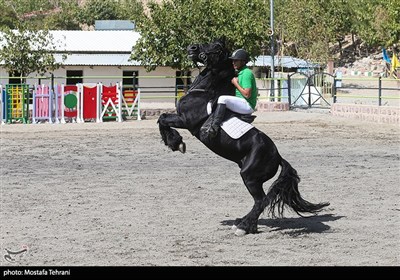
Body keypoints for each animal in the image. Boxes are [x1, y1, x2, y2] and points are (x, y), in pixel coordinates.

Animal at [156, 38, 328, 236]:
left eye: (217, 47)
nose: (192, 48)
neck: (203, 91)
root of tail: (278, 157)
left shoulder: (186, 121)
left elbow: (163, 119)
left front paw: (176, 143)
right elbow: (161, 119)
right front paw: (174, 143)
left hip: (249, 176)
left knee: (261, 201)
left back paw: (243, 227)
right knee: (259, 201)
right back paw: (245, 223)